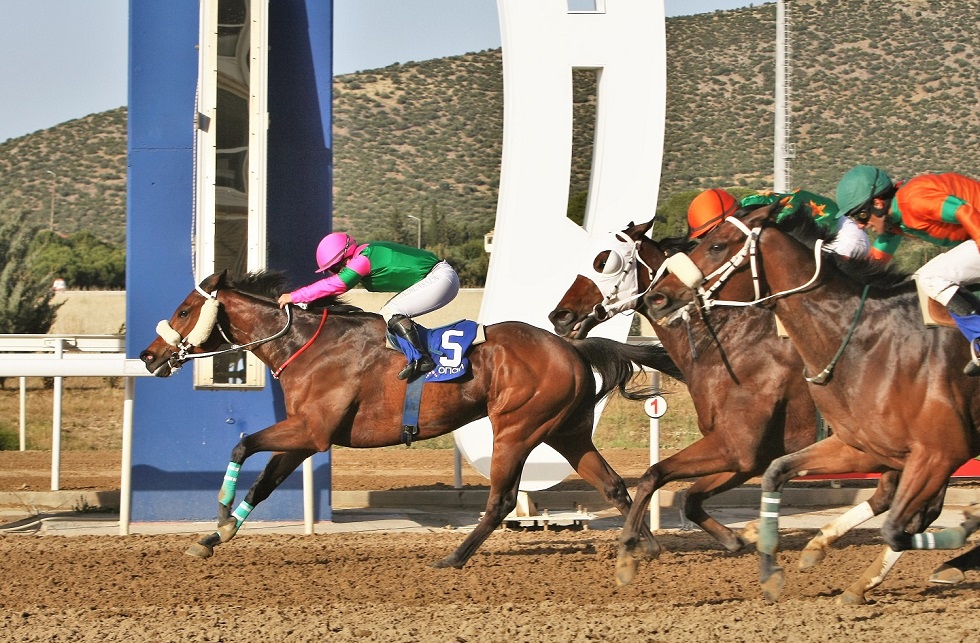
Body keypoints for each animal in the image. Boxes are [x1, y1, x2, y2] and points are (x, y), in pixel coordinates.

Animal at [136, 272, 680, 568]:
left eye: (184, 310)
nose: (148, 355)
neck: (307, 344)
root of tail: (570, 347)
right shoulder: (308, 435)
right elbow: (264, 482)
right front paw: (214, 536)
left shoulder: (312, 431)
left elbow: (242, 444)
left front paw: (220, 517)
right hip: (566, 431)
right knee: (613, 485)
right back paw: (646, 546)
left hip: (517, 427)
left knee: (502, 499)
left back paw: (454, 557)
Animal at [548, 221, 932, 600]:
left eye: (604, 261)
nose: (560, 315)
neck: (733, 341)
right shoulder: (752, 458)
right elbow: (690, 497)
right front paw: (739, 536)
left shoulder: (736, 447)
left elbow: (653, 474)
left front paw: (630, 553)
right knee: (896, 504)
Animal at [644, 206, 980, 604]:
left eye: (715, 245)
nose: (658, 297)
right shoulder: (865, 445)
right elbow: (767, 475)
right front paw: (774, 558)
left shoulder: (940, 452)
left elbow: (899, 527)